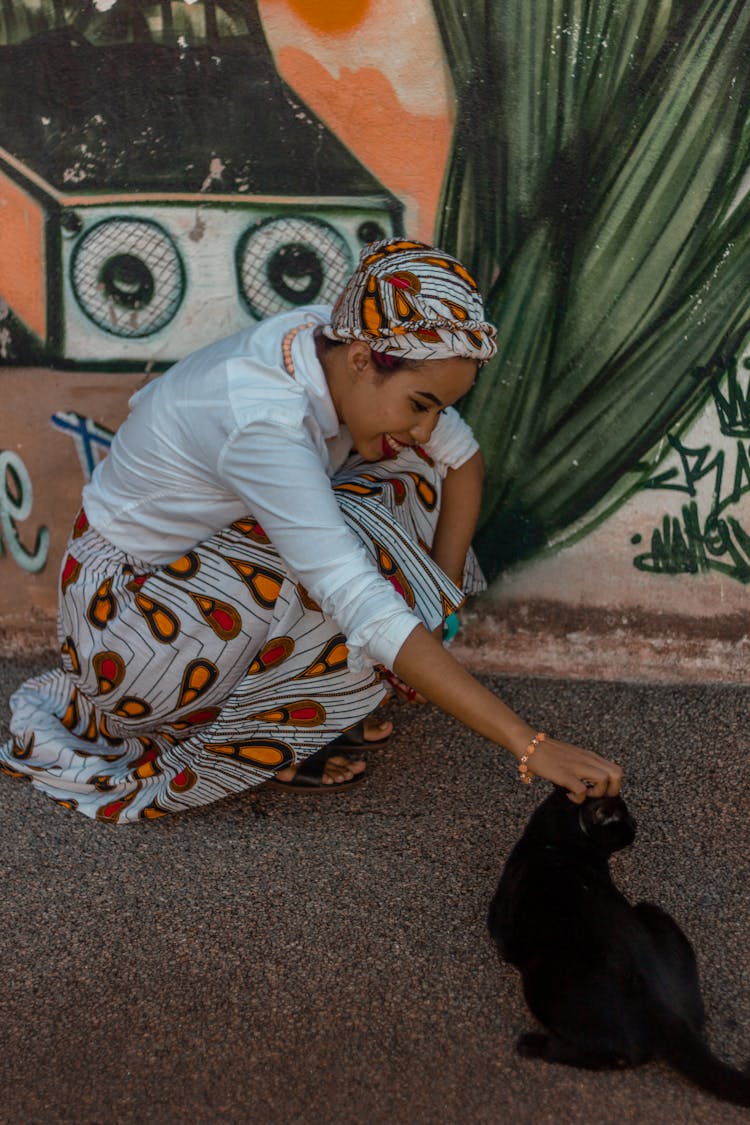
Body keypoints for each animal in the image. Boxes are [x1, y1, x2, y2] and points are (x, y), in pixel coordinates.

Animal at [488, 792, 750, 1107]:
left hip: (542, 978)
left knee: (619, 1055)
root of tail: (668, 1012)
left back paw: (533, 1045)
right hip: (652, 910)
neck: (555, 846)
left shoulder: (501, 928)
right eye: (624, 819)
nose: (636, 823)